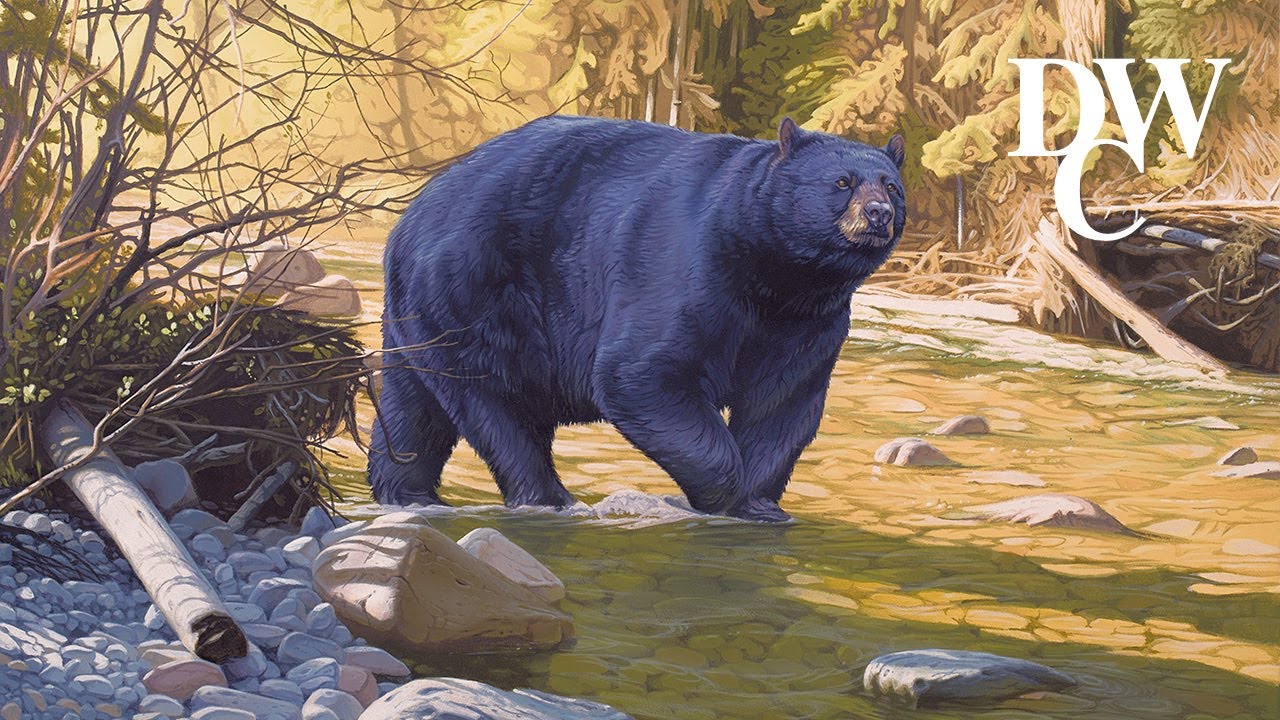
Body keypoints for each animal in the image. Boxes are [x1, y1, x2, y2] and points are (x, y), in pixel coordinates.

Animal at [369, 115, 905, 522]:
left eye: (892, 186)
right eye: (842, 182)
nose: (878, 213)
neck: (776, 274)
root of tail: (408, 220)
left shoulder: (809, 324)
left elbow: (783, 404)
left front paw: (759, 503)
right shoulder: (686, 272)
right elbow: (640, 374)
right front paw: (724, 494)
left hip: (418, 318)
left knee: (412, 407)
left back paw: (407, 491)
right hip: (474, 292)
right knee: (497, 404)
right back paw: (549, 498)